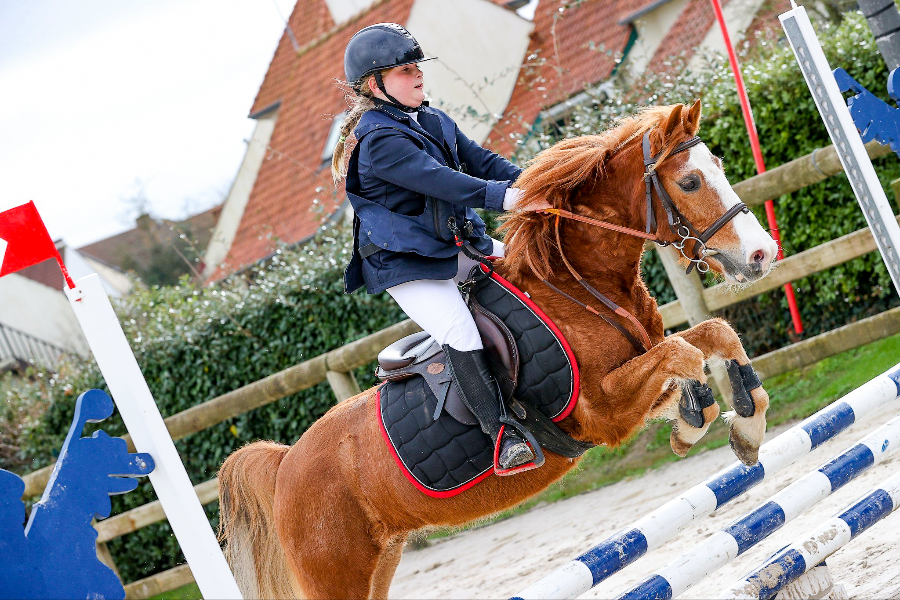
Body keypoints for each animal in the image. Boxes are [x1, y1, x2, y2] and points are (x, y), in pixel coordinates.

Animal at [221, 101, 776, 596]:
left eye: (718, 166)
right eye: (690, 182)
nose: (762, 254)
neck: (576, 285)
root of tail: (284, 466)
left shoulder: (642, 367)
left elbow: (713, 337)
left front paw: (738, 425)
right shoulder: (604, 410)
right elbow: (685, 356)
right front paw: (697, 420)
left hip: (382, 560)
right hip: (337, 574)